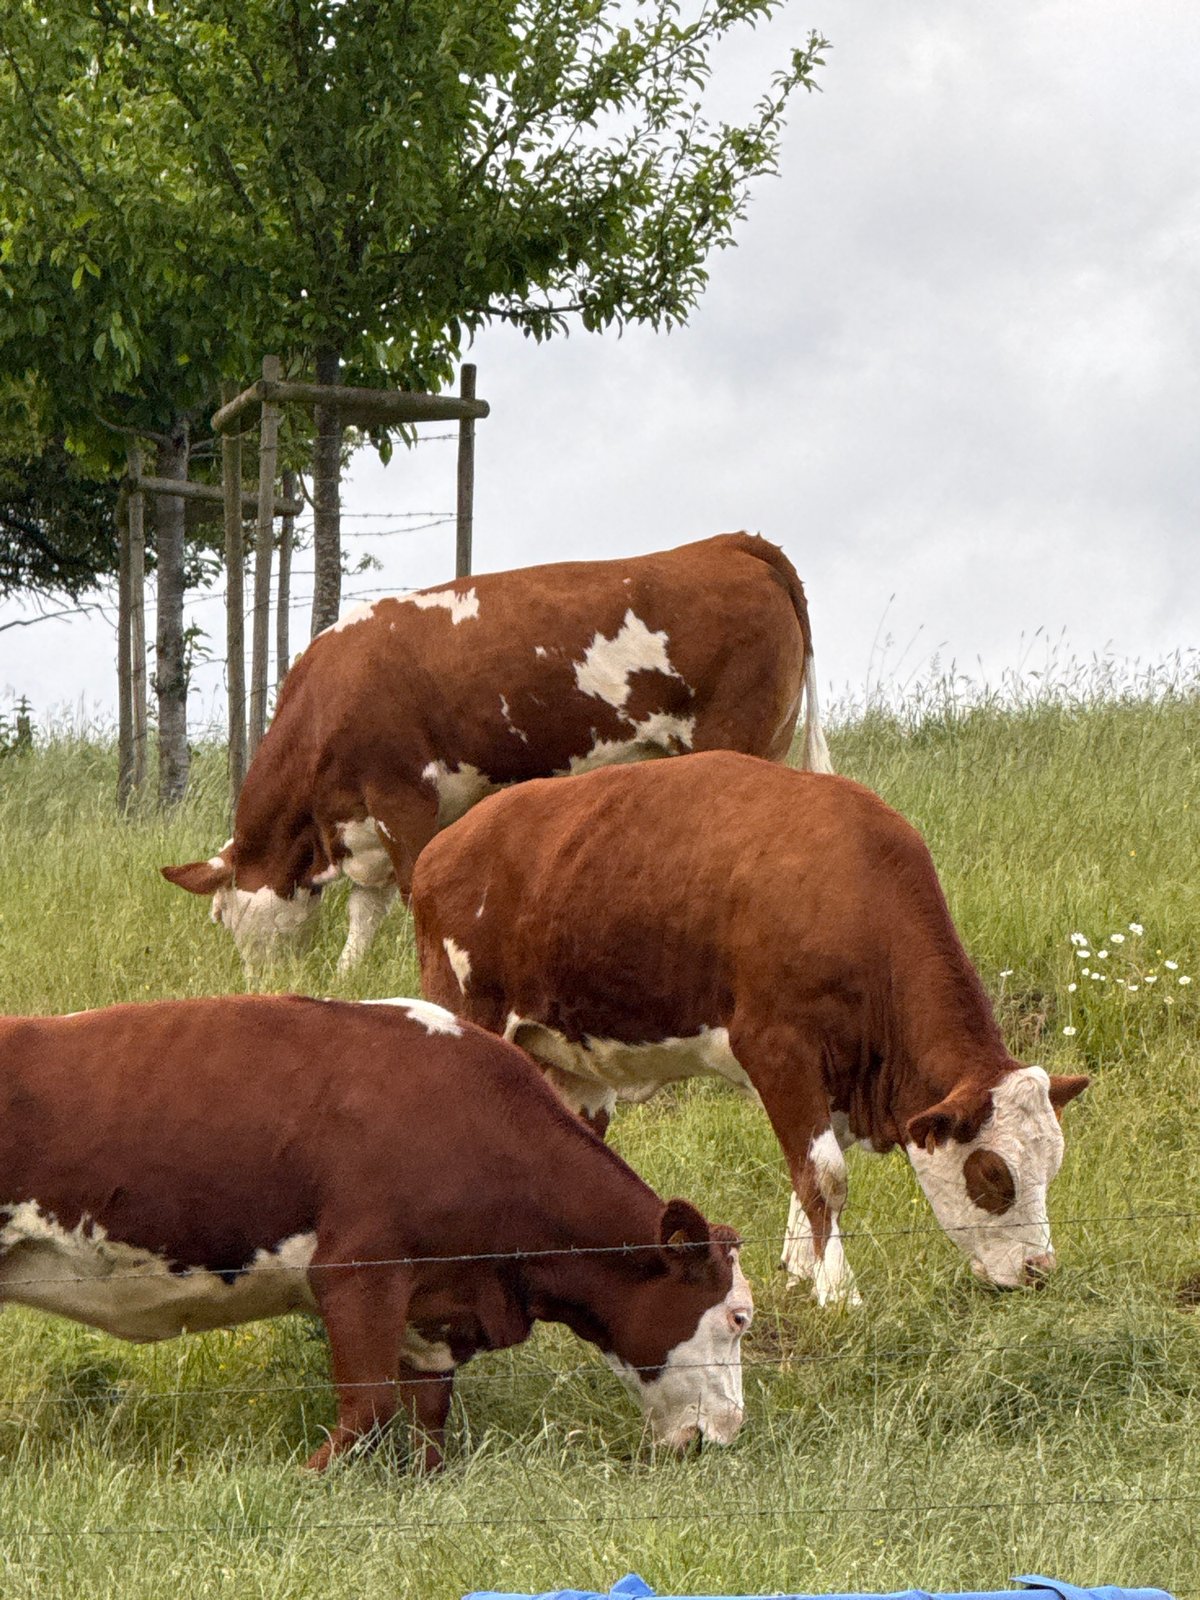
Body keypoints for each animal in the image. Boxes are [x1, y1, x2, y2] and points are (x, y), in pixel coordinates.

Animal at [0, 994, 752, 1470]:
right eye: (739, 1317)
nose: (727, 1433)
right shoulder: (357, 1274)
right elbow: (368, 1407)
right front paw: (299, 1481)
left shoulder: (436, 1307)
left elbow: (427, 1416)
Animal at [162, 533, 830, 971]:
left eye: (221, 916)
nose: (259, 983)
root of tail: (732, 544)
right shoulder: (364, 823)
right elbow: (364, 913)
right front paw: (348, 978)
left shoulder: (402, 800)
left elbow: (413, 890)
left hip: (734, 740)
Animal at [412, 751, 1089, 1308]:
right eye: (994, 1175)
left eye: (1052, 1168)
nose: (1039, 1270)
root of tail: (443, 846)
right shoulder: (777, 1047)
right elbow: (826, 1176)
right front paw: (840, 1293)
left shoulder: (836, 1070)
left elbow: (813, 1165)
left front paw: (800, 1271)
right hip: (468, 1008)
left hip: (570, 1063)